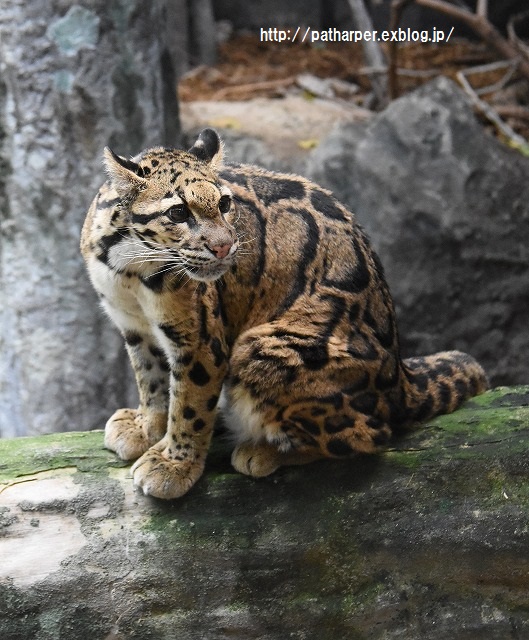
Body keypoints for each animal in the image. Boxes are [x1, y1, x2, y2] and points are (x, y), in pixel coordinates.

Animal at [79, 129, 486, 500]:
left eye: (224, 204)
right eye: (178, 212)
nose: (225, 247)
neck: (131, 267)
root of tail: (401, 376)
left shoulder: (200, 342)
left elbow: (189, 406)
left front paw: (173, 465)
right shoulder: (135, 327)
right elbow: (151, 380)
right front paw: (147, 428)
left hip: (259, 349)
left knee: (370, 434)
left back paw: (262, 451)